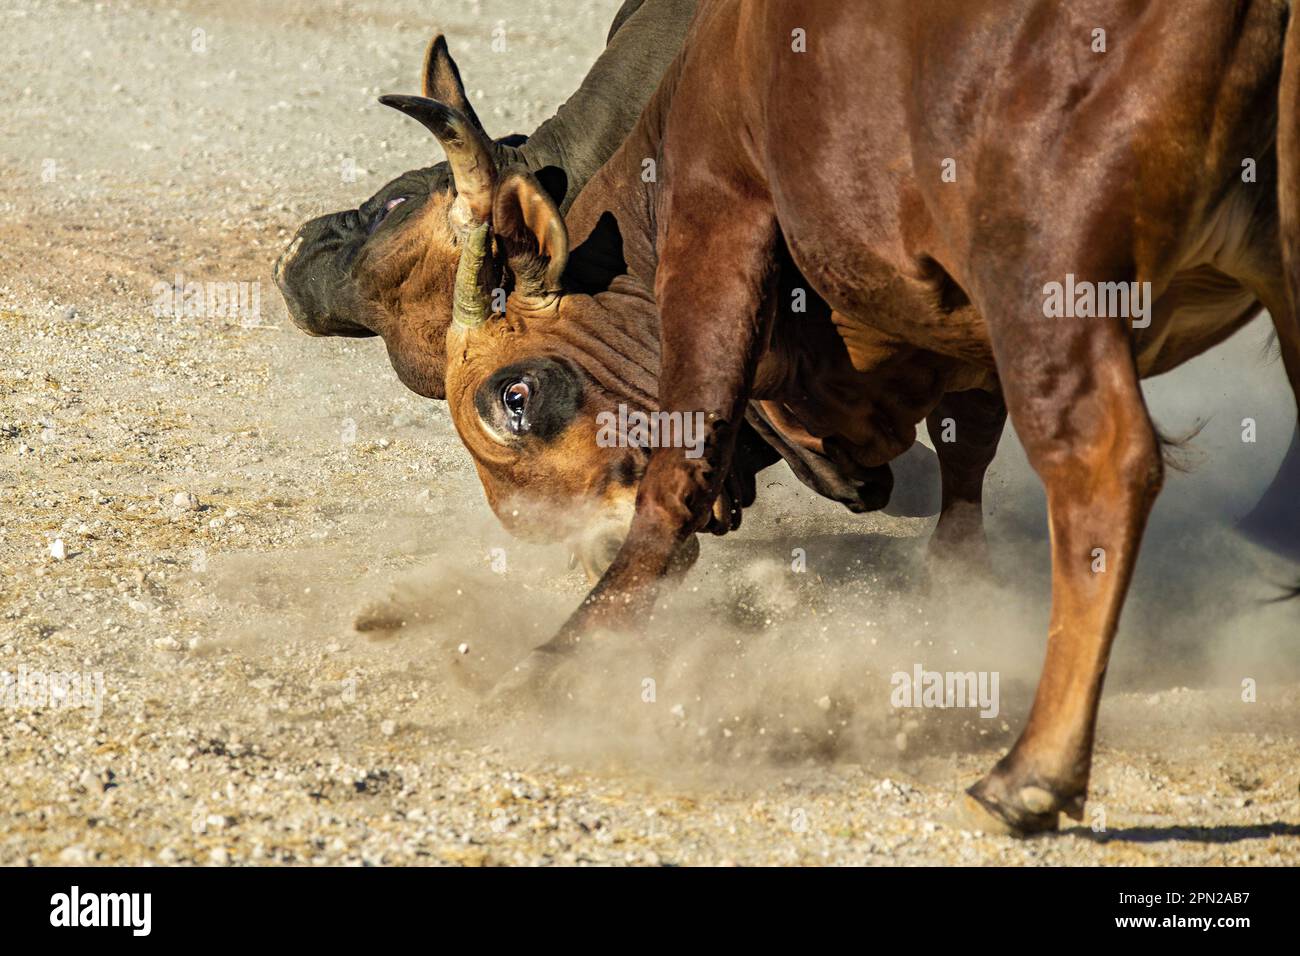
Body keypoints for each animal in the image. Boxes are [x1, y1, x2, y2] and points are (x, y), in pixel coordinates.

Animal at [418, 0, 1300, 837]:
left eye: (515, 397)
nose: (576, 546)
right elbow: (967, 458)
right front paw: (960, 597)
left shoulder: (718, 214)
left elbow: (681, 466)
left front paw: (564, 656)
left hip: (1045, 268)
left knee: (1105, 464)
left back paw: (1031, 773)